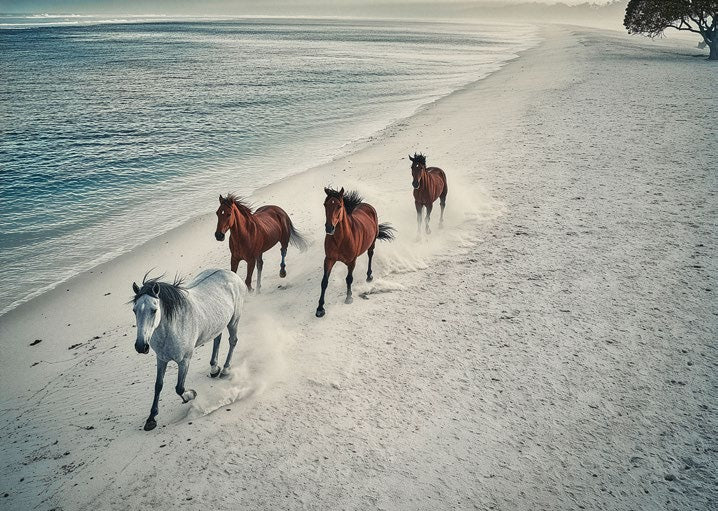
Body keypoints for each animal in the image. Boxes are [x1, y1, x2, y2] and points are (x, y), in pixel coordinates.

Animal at [131, 268, 247, 431]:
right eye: (134, 310)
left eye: (154, 310)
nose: (141, 346)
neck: (172, 328)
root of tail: (230, 273)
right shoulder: (161, 359)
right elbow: (158, 385)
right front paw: (151, 419)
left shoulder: (184, 361)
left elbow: (179, 387)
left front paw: (191, 395)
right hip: (218, 322)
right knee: (217, 338)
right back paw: (214, 369)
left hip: (234, 320)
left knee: (233, 341)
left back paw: (225, 369)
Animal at [316, 187, 395, 317]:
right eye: (325, 205)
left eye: (339, 206)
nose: (329, 228)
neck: (341, 239)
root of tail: (367, 205)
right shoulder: (329, 259)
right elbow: (324, 282)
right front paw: (320, 308)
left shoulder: (352, 261)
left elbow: (349, 279)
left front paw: (349, 298)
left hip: (372, 243)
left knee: (370, 255)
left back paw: (369, 276)